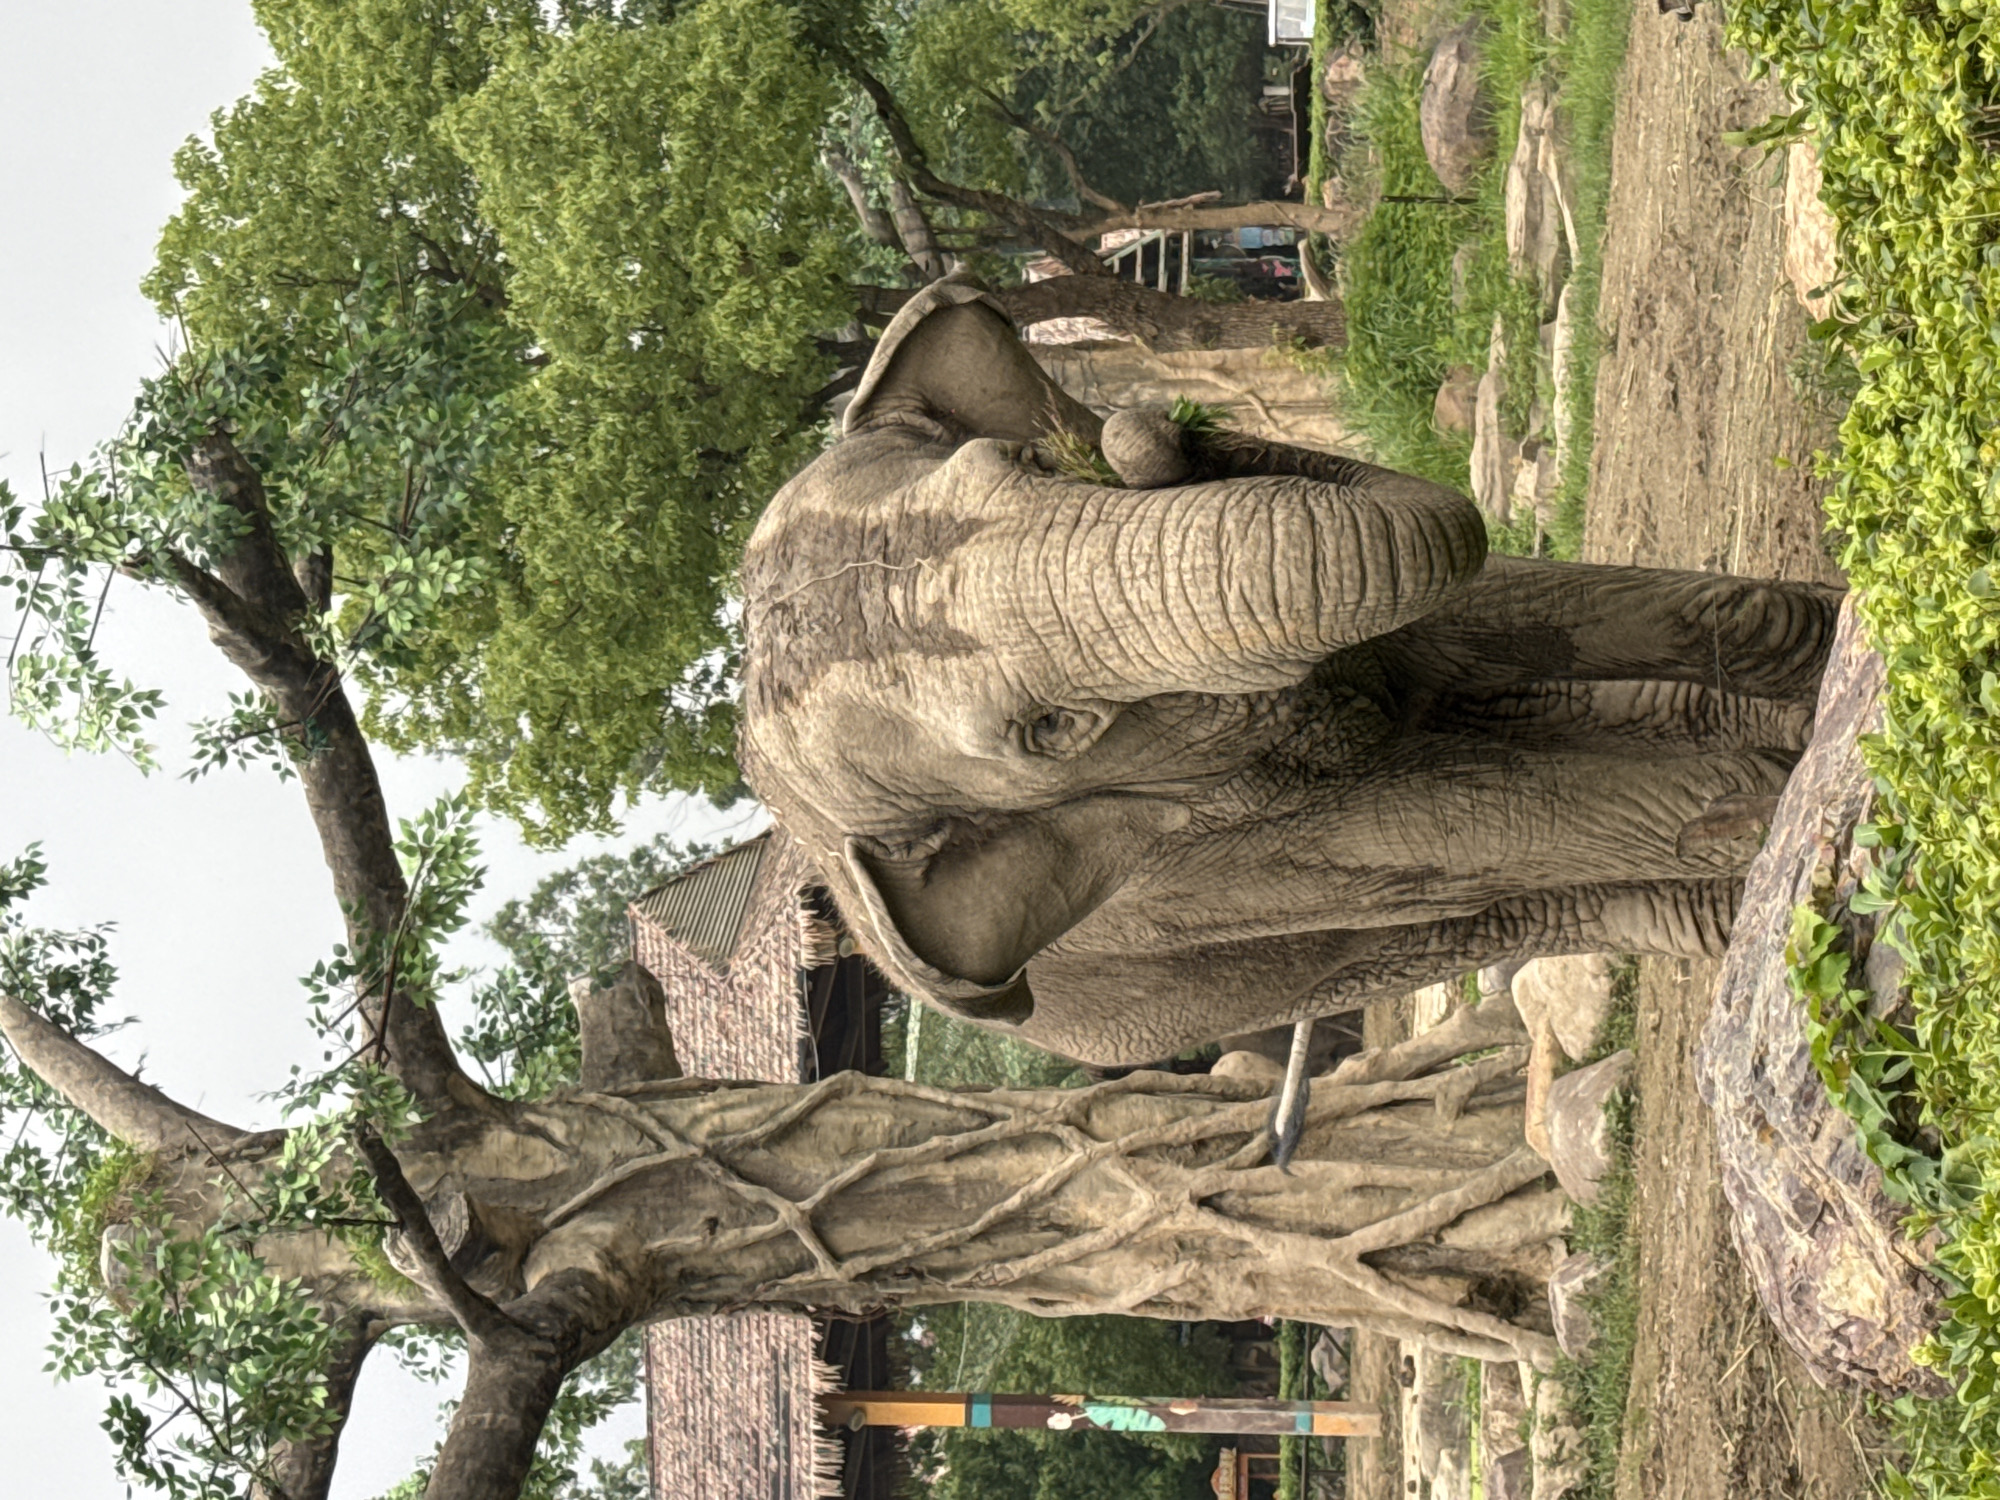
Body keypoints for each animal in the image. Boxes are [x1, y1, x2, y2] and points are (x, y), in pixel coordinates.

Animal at [738, 274, 1841, 1065]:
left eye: (1030, 466)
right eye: (1051, 732)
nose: (1153, 433)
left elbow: (1515, 608)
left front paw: (1830, 651)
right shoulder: (1197, 848)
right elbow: (1474, 811)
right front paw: (1764, 802)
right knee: (1514, 895)